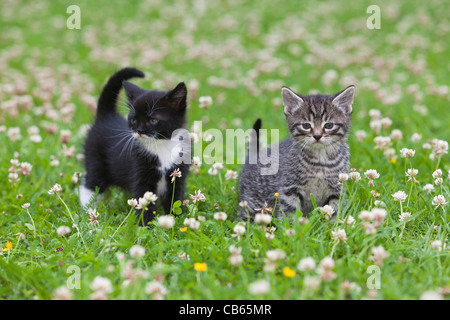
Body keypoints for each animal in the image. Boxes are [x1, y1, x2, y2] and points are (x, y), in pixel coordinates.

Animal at [81, 67, 190, 225]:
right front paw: (146, 227)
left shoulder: (178, 175)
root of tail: (106, 116)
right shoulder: (140, 173)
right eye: (133, 119)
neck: (161, 145)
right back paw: (89, 212)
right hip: (95, 160)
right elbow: (144, 203)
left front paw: (177, 223)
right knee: (90, 184)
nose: (139, 130)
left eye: (153, 120)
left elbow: (175, 201)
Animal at [239, 85, 356, 220]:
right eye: (306, 126)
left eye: (329, 125)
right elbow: (290, 212)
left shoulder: (336, 190)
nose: (317, 136)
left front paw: (332, 225)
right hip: (253, 203)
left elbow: (333, 211)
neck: (320, 159)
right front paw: (291, 225)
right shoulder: (290, 189)